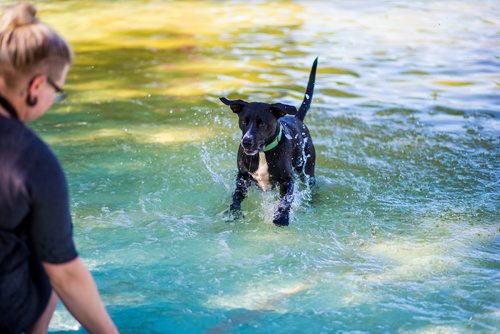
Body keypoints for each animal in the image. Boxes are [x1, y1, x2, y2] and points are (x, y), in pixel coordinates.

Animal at [221, 58, 318, 227]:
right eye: (244, 121)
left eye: (262, 124)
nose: (246, 142)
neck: (262, 154)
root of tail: (297, 118)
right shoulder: (242, 176)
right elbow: (237, 197)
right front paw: (233, 213)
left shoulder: (287, 180)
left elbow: (285, 201)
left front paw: (281, 218)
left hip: (307, 169)